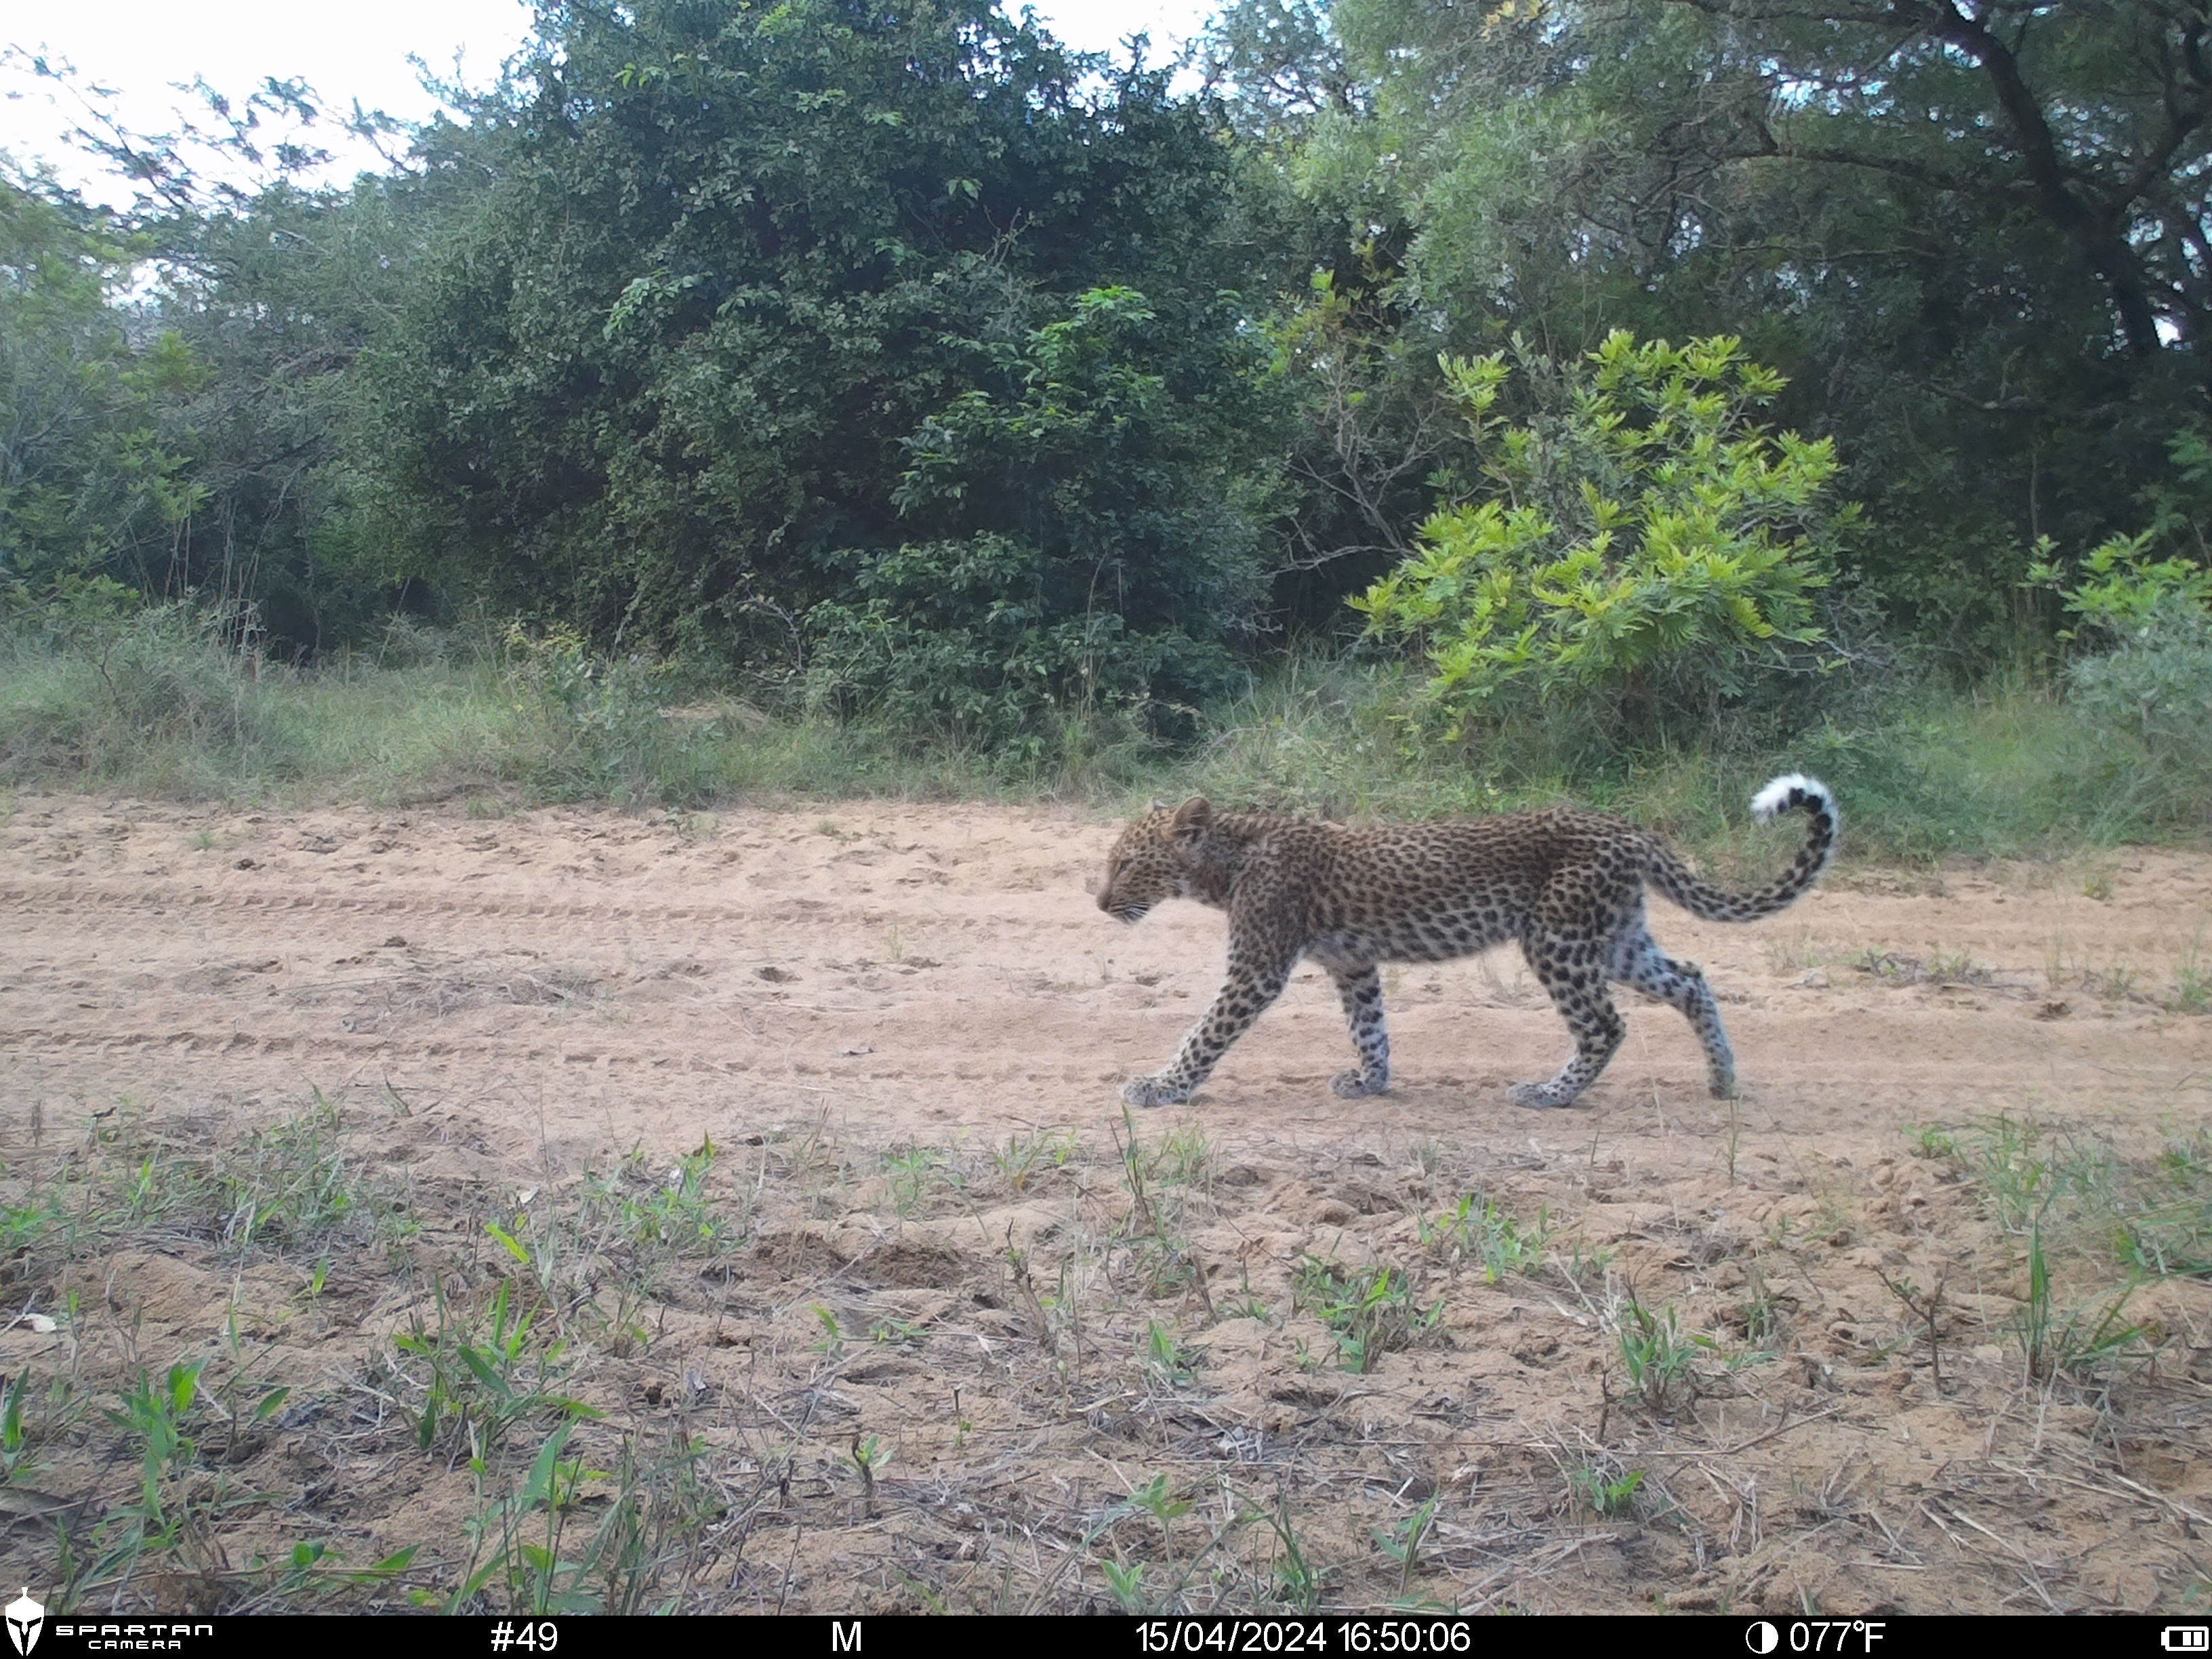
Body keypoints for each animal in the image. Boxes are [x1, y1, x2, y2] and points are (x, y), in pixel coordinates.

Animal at [1096, 774, 1837, 1110]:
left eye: (1127, 865)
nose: (1100, 902)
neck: (1225, 864)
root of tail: (1624, 828)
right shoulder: (1353, 963)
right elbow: (1369, 1027)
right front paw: (1371, 1080)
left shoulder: (1257, 967)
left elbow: (1205, 1032)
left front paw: (1161, 1087)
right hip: (1616, 937)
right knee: (1690, 979)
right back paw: (1722, 1079)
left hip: (1558, 938)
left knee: (1605, 1024)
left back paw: (1550, 1093)